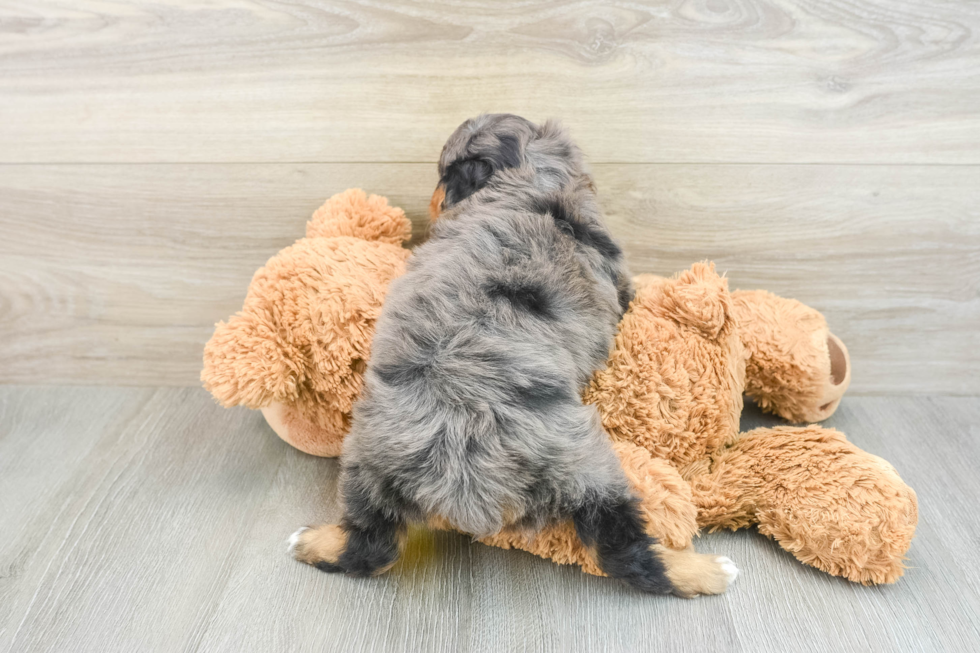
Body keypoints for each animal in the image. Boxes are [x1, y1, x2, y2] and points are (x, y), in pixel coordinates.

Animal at [290, 113, 736, 596]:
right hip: (589, 467)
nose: (432, 200)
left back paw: (312, 542)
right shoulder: (618, 285)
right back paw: (706, 570)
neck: (531, 176)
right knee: (623, 551)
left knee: (371, 545)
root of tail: (462, 481)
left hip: (366, 462)